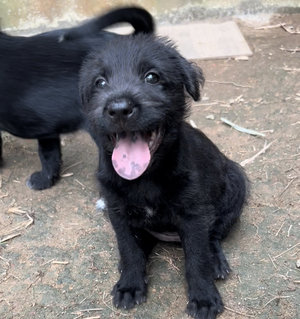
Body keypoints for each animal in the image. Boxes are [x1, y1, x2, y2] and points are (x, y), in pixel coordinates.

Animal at [79, 35, 248, 319]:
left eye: (152, 77)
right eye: (100, 82)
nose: (119, 109)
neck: (145, 178)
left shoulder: (194, 215)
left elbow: (197, 258)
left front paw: (203, 298)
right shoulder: (117, 211)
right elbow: (129, 247)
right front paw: (130, 284)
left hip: (236, 188)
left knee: (213, 236)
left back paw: (216, 261)